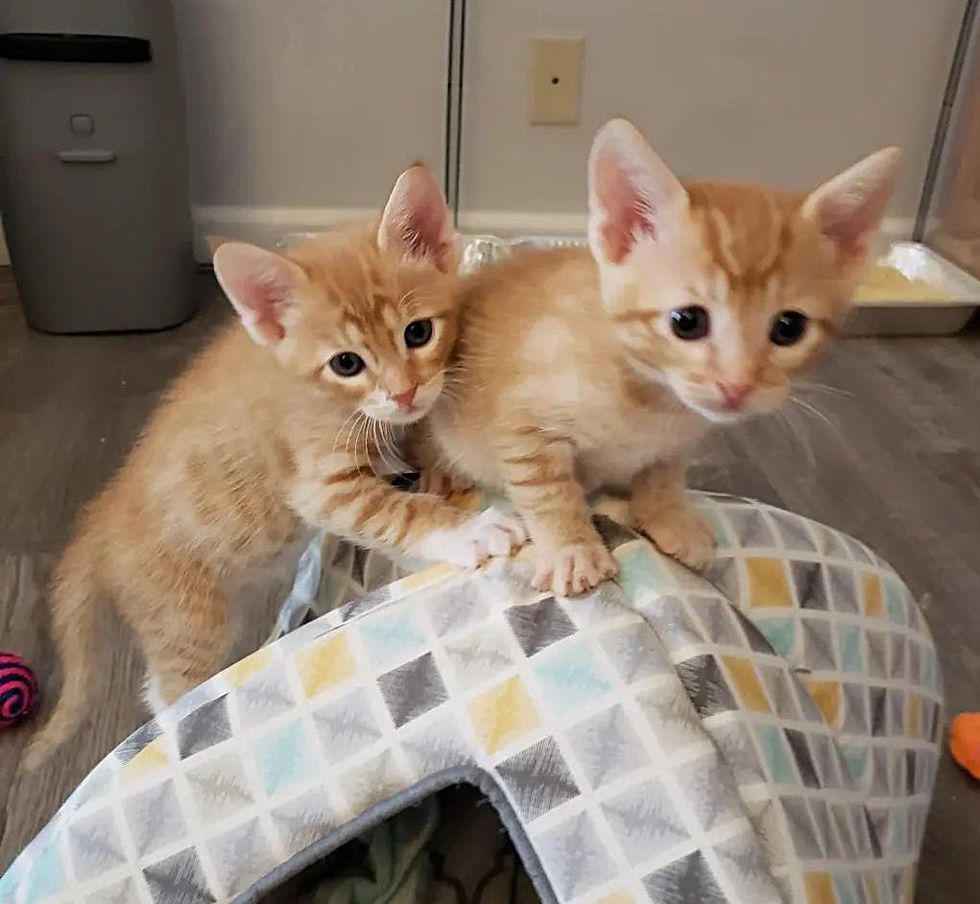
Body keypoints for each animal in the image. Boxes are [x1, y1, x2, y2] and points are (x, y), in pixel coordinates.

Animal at [26, 164, 524, 768]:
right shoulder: (321, 486)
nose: (404, 394)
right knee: (165, 692)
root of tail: (99, 517)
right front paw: (471, 530)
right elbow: (400, 512)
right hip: (187, 619)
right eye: (346, 363)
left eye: (418, 332)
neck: (329, 399)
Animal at [424, 120, 900, 600]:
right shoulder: (522, 425)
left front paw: (669, 516)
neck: (650, 394)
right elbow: (547, 490)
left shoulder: (677, 439)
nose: (737, 385)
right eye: (687, 321)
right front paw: (571, 548)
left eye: (789, 328)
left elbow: (664, 473)